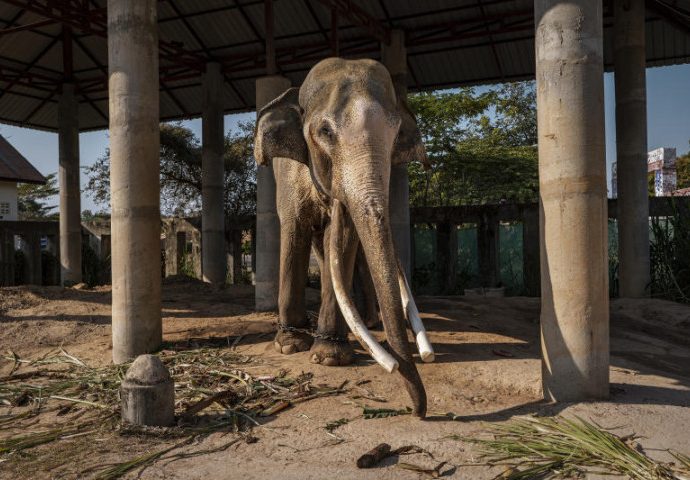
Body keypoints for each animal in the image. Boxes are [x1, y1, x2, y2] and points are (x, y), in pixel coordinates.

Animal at [255, 56, 432, 416]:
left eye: (396, 134)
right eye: (324, 132)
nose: (418, 411)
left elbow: (346, 239)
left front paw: (330, 357)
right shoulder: (290, 176)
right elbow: (294, 230)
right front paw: (290, 346)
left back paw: (368, 324)